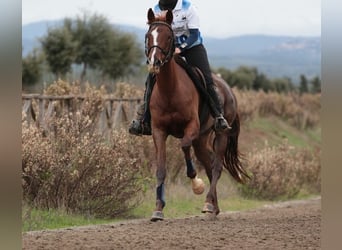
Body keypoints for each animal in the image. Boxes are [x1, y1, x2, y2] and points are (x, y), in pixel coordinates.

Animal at [145, 8, 248, 222]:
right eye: (149, 35)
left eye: (169, 37)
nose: (154, 62)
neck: (170, 89)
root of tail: (229, 89)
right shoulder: (159, 131)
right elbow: (160, 168)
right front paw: (158, 209)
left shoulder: (190, 127)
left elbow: (184, 146)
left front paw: (196, 184)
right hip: (201, 139)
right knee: (209, 163)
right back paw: (214, 207)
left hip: (221, 133)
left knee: (216, 166)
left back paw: (208, 202)